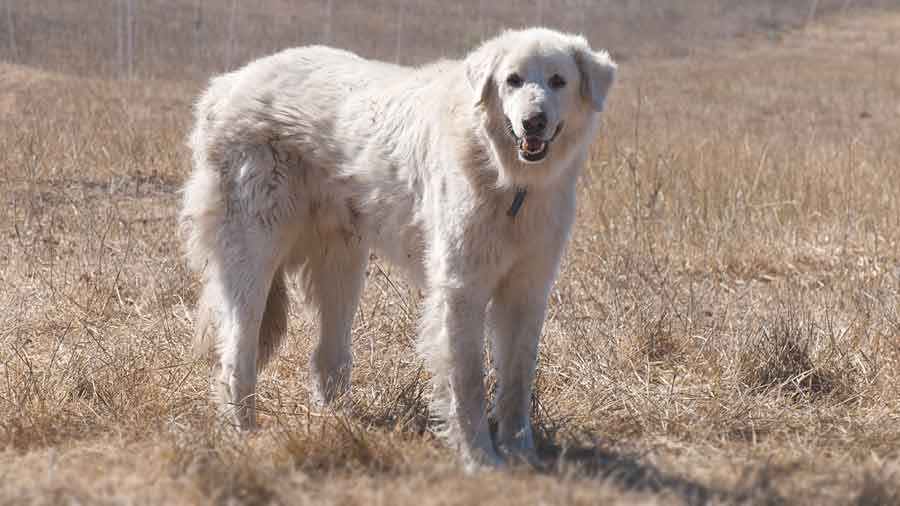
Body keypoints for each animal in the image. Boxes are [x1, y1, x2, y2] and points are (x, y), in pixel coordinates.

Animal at [179, 27, 616, 470]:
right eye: (513, 80)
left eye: (558, 81)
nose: (533, 121)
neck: (508, 177)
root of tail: (225, 85)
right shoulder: (461, 289)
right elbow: (468, 381)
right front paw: (478, 458)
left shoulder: (528, 290)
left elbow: (517, 379)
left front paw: (522, 454)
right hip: (254, 256)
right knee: (237, 356)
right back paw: (244, 434)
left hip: (342, 266)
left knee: (327, 356)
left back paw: (338, 426)